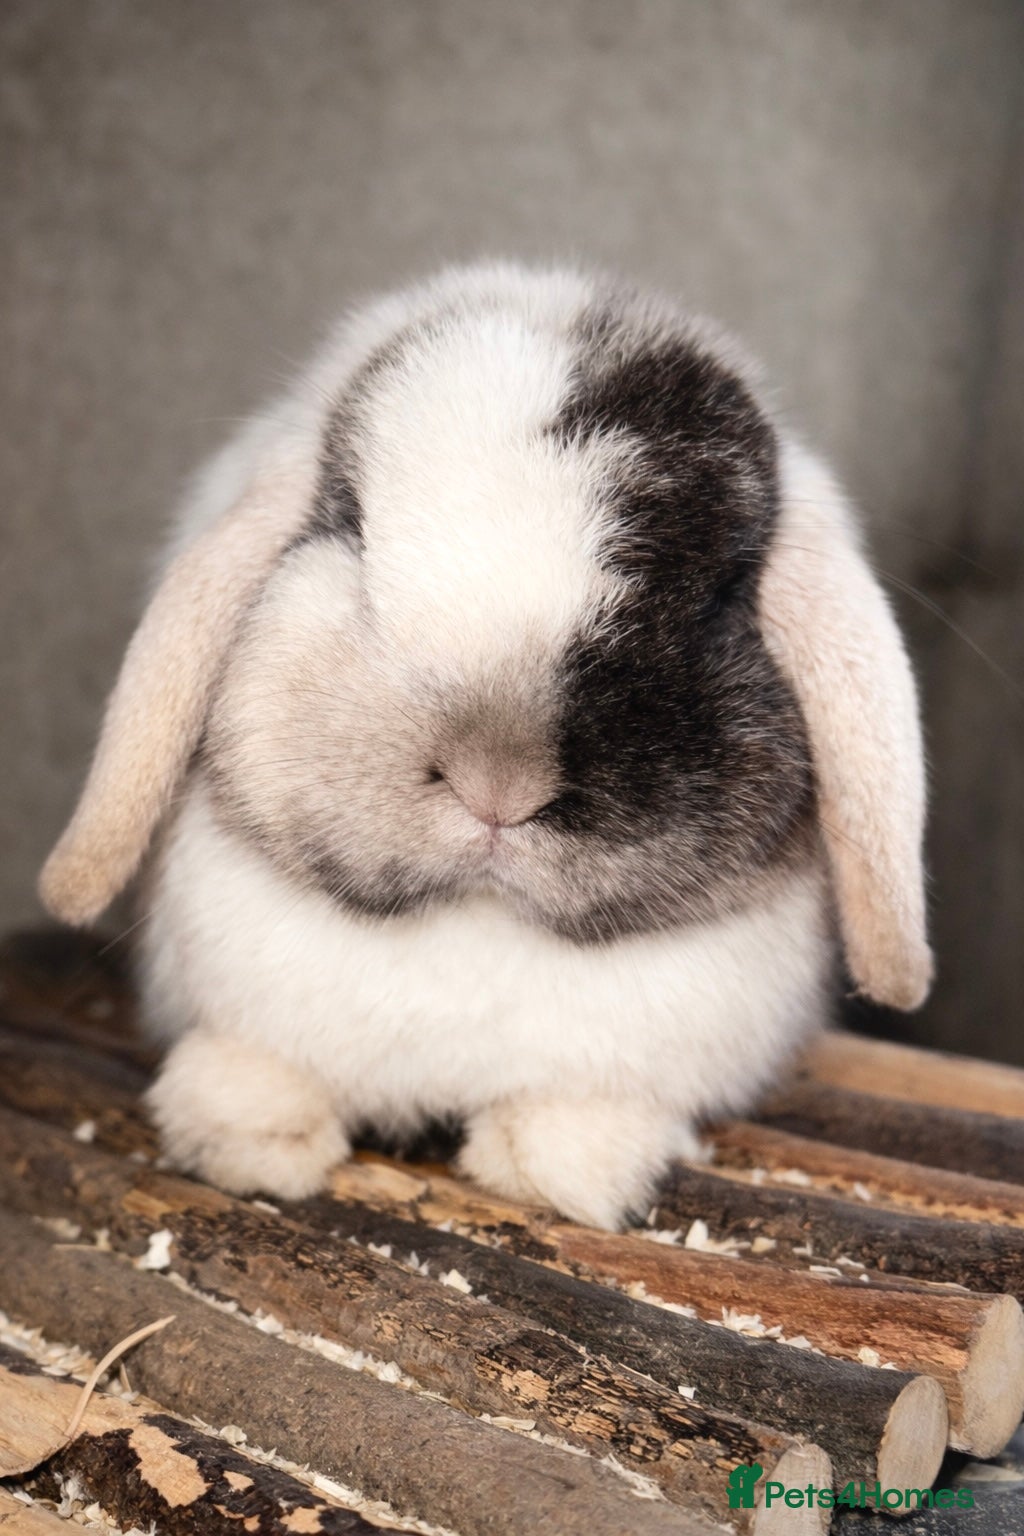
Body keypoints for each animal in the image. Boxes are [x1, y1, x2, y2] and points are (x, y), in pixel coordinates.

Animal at [39, 262, 932, 1230]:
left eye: (721, 591)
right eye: (352, 528)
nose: (497, 782)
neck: (477, 921)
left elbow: (580, 1117)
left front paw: (558, 1173)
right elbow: (266, 1069)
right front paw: (246, 1145)